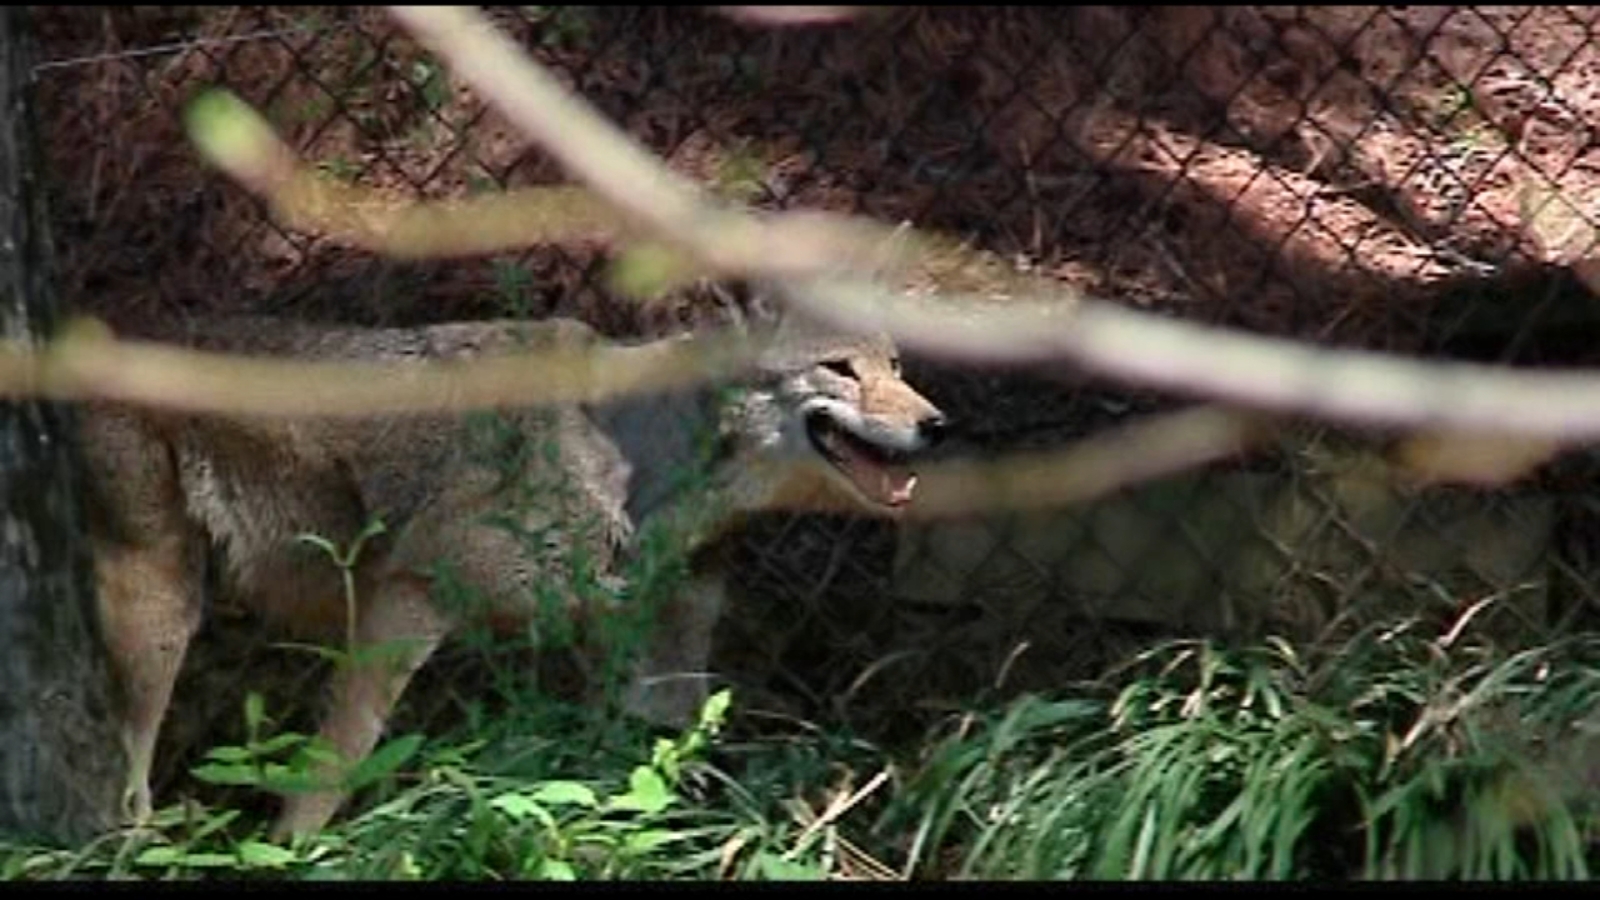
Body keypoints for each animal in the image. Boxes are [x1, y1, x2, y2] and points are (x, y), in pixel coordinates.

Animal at [79, 306, 947, 838]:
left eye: (899, 365)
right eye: (839, 368)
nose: (937, 424)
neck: (642, 466)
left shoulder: (645, 669)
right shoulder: (407, 603)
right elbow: (333, 767)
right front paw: (297, 853)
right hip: (157, 619)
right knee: (128, 778)